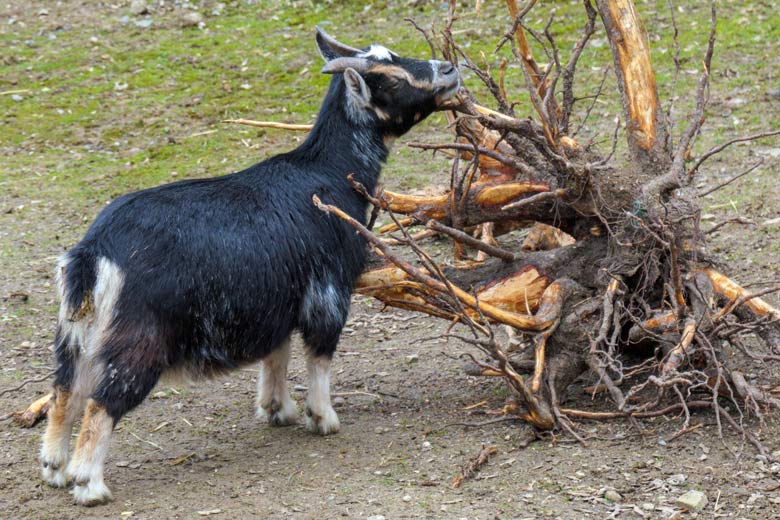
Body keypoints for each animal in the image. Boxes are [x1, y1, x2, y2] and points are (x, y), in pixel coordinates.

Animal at [39, 27, 460, 504]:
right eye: (388, 77)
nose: (449, 69)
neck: (329, 172)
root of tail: (94, 252)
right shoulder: (329, 291)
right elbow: (319, 354)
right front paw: (323, 417)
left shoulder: (276, 301)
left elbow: (276, 353)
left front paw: (279, 409)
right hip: (137, 338)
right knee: (101, 402)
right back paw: (88, 483)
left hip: (76, 333)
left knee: (64, 391)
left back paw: (55, 467)